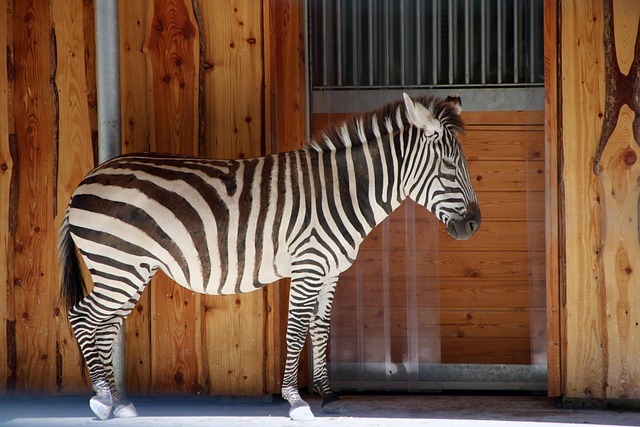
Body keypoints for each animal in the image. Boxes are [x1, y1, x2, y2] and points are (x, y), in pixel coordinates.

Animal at [59, 93, 481, 421]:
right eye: (449, 166)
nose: (474, 224)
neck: (343, 192)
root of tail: (86, 178)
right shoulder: (309, 265)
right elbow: (295, 330)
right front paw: (295, 401)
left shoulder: (331, 271)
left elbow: (320, 327)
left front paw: (328, 396)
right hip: (117, 264)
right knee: (82, 317)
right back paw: (102, 399)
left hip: (130, 268)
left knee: (106, 326)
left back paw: (120, 403)